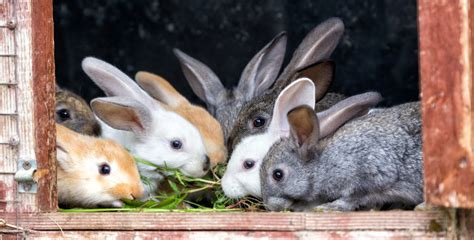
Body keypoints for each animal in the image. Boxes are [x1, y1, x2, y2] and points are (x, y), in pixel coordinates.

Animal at [262, 96, 422, 211]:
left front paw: (327, 207)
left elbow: (352, 199)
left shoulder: (367, 177)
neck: (323, 163)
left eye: (277, 175)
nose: (270, 206)